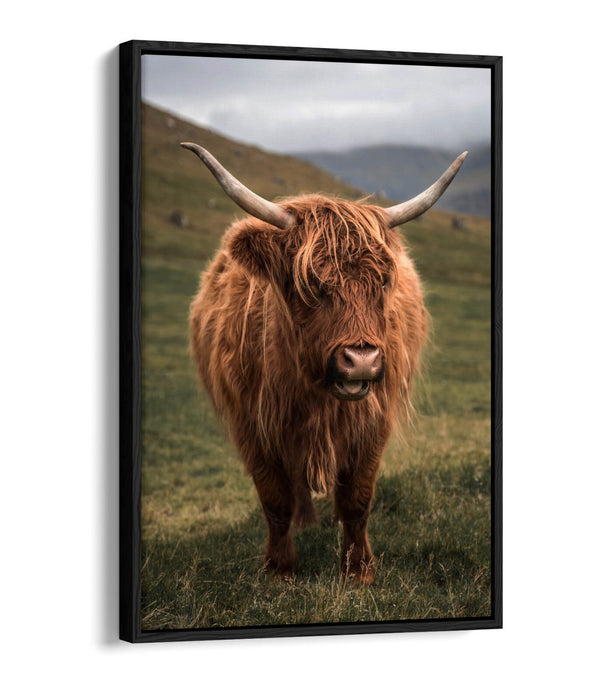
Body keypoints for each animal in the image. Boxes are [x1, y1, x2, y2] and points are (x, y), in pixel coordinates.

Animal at [182, 142, 467, 584]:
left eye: (383, 281)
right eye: (310, 283)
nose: (361, 360)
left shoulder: (373, 420)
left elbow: (357, 499)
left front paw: (359, 569)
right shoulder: (251, 424)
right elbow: (275, 499)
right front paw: (280, 568)